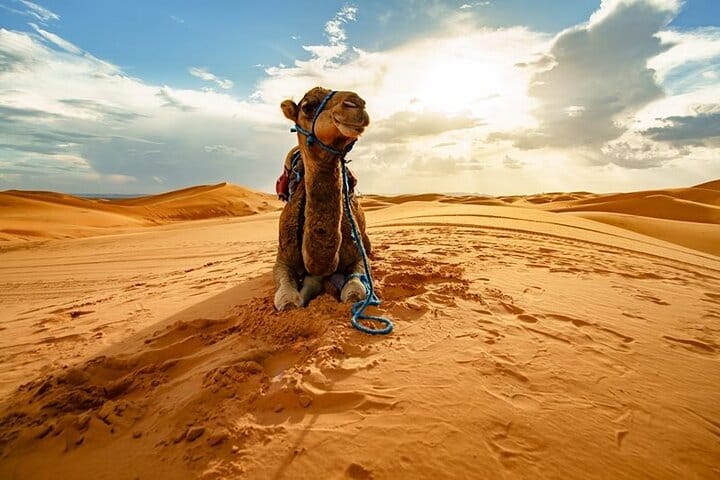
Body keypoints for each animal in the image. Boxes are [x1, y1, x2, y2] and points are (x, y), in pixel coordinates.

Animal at [273, 86, 373, 311]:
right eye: (307, 107)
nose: (356, 103)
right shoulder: (282, 258)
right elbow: (287, 299)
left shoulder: (358, 255)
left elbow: (354, 291)